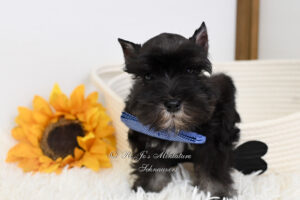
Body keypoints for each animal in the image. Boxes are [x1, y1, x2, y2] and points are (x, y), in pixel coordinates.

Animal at [118, 22, 266, 198]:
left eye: (189, 70)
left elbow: (212, 169)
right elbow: (151, 166)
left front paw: (217, 192)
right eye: (148, 76)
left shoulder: (213, 142)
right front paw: (147, 189)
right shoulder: (147, 141)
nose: (172, 104)